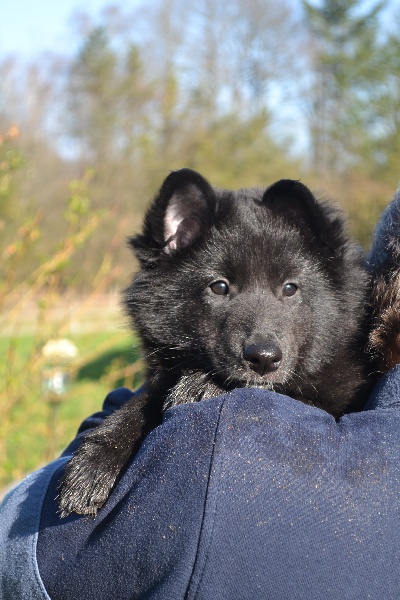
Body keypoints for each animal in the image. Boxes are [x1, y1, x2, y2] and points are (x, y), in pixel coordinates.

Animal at [57, 169, 370, 516]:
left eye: (290, 288)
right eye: (219, 287)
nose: (263, 358)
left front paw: (204, 386)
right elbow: (141, 404)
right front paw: (95, 462)